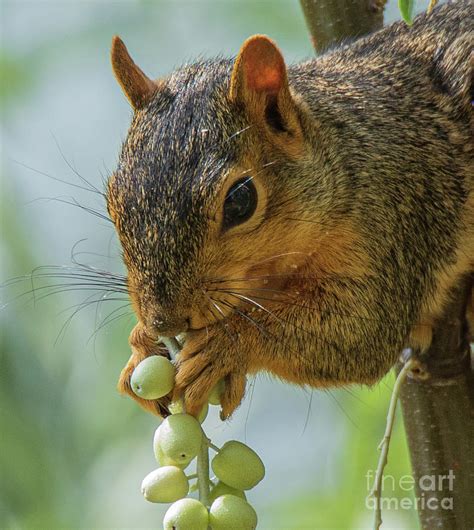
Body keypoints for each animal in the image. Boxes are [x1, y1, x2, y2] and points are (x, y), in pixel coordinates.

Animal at [105, 2, 472, 418]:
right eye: (112, 200)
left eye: (240, 201)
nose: (163, 320)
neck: (348, 150)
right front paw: (140, 344)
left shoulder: (396, 222)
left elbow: (362, 332)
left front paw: (227, 342)